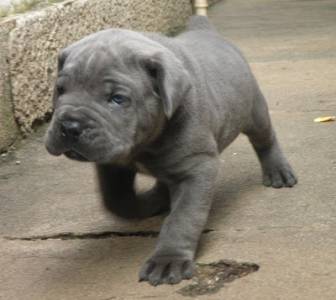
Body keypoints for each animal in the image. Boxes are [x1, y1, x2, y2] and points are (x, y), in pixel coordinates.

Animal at [44, 15, 296, 286]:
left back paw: (278, 172)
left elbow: (183, 218)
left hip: (254, 111)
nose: (70, 126)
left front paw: (168, 260)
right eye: (60, 90)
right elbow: (117, 199)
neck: (143, 146)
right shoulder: (112, 163)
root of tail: (206, 30)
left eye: (118, 99)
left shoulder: (197, 169)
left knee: (265, 139)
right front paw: (150, 202)